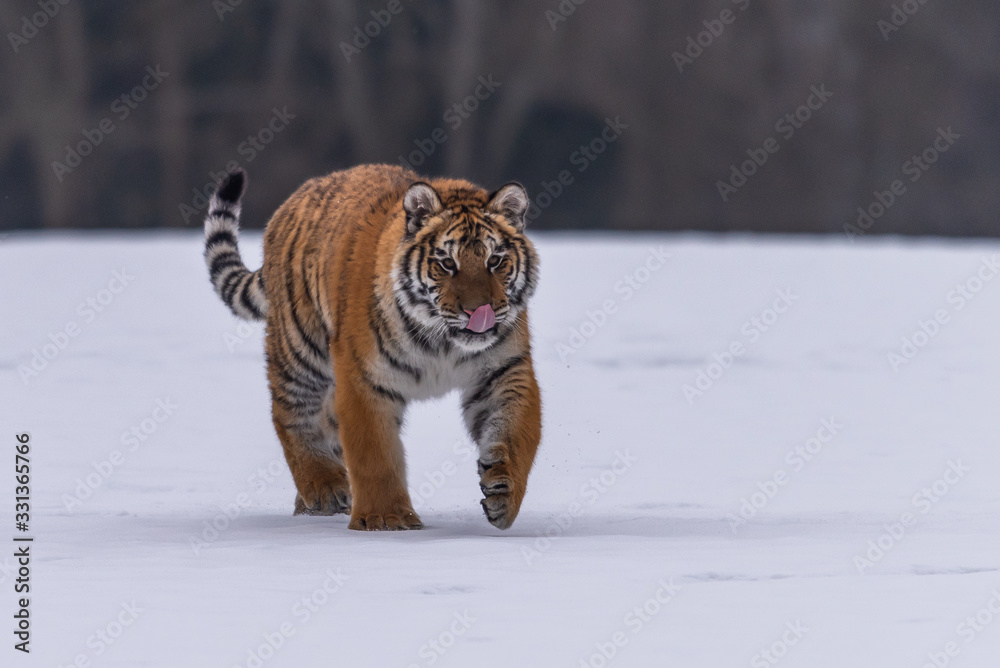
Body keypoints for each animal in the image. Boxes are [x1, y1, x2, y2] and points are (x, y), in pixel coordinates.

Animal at [202, 164, 541, 531]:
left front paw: (504, 495)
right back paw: (323, 487)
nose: (478, 312)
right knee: (290, 413)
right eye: (447, 264)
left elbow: (516, 433)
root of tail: (298, 196)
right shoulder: (363, 379)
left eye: (495, 261)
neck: (443, 343)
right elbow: (375, 455)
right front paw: (386, 519)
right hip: (300, 348)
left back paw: (309, 505)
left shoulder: (503, 371)